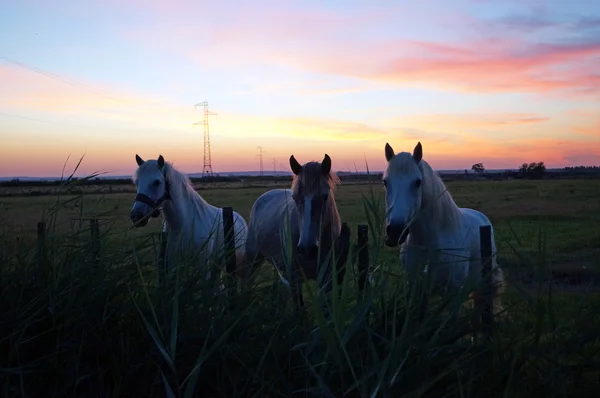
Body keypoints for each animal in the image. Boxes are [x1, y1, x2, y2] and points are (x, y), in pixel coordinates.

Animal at [129, 154, 248, 282]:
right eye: (136, 182)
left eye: (156, 182)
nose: (136, 216)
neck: (184, 224)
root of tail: (240, 219)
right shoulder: (173, 265)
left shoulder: (203, 266)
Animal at [382, 141, 504, 316]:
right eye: (385, 182)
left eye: (417, 182)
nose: (395, 231)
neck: (429, 245)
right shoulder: (415, 289)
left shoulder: (453, 293)